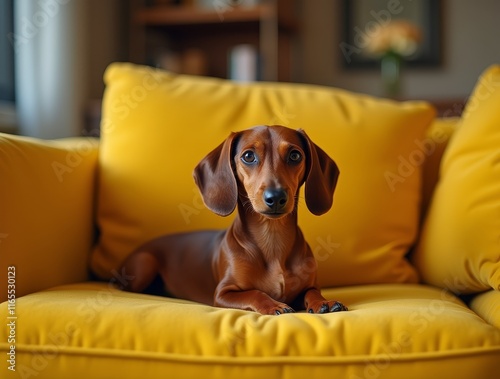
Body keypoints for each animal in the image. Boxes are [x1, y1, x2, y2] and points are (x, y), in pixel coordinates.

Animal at [121, 124, 348, 314]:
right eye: (248, 155)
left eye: (294, 155)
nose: (276, 197)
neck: (272, 239)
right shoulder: (223, 293)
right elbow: (255, 293)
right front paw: (274, 305)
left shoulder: (308, 286)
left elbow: (312, 291)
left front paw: (324, 302)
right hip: (144, 264)